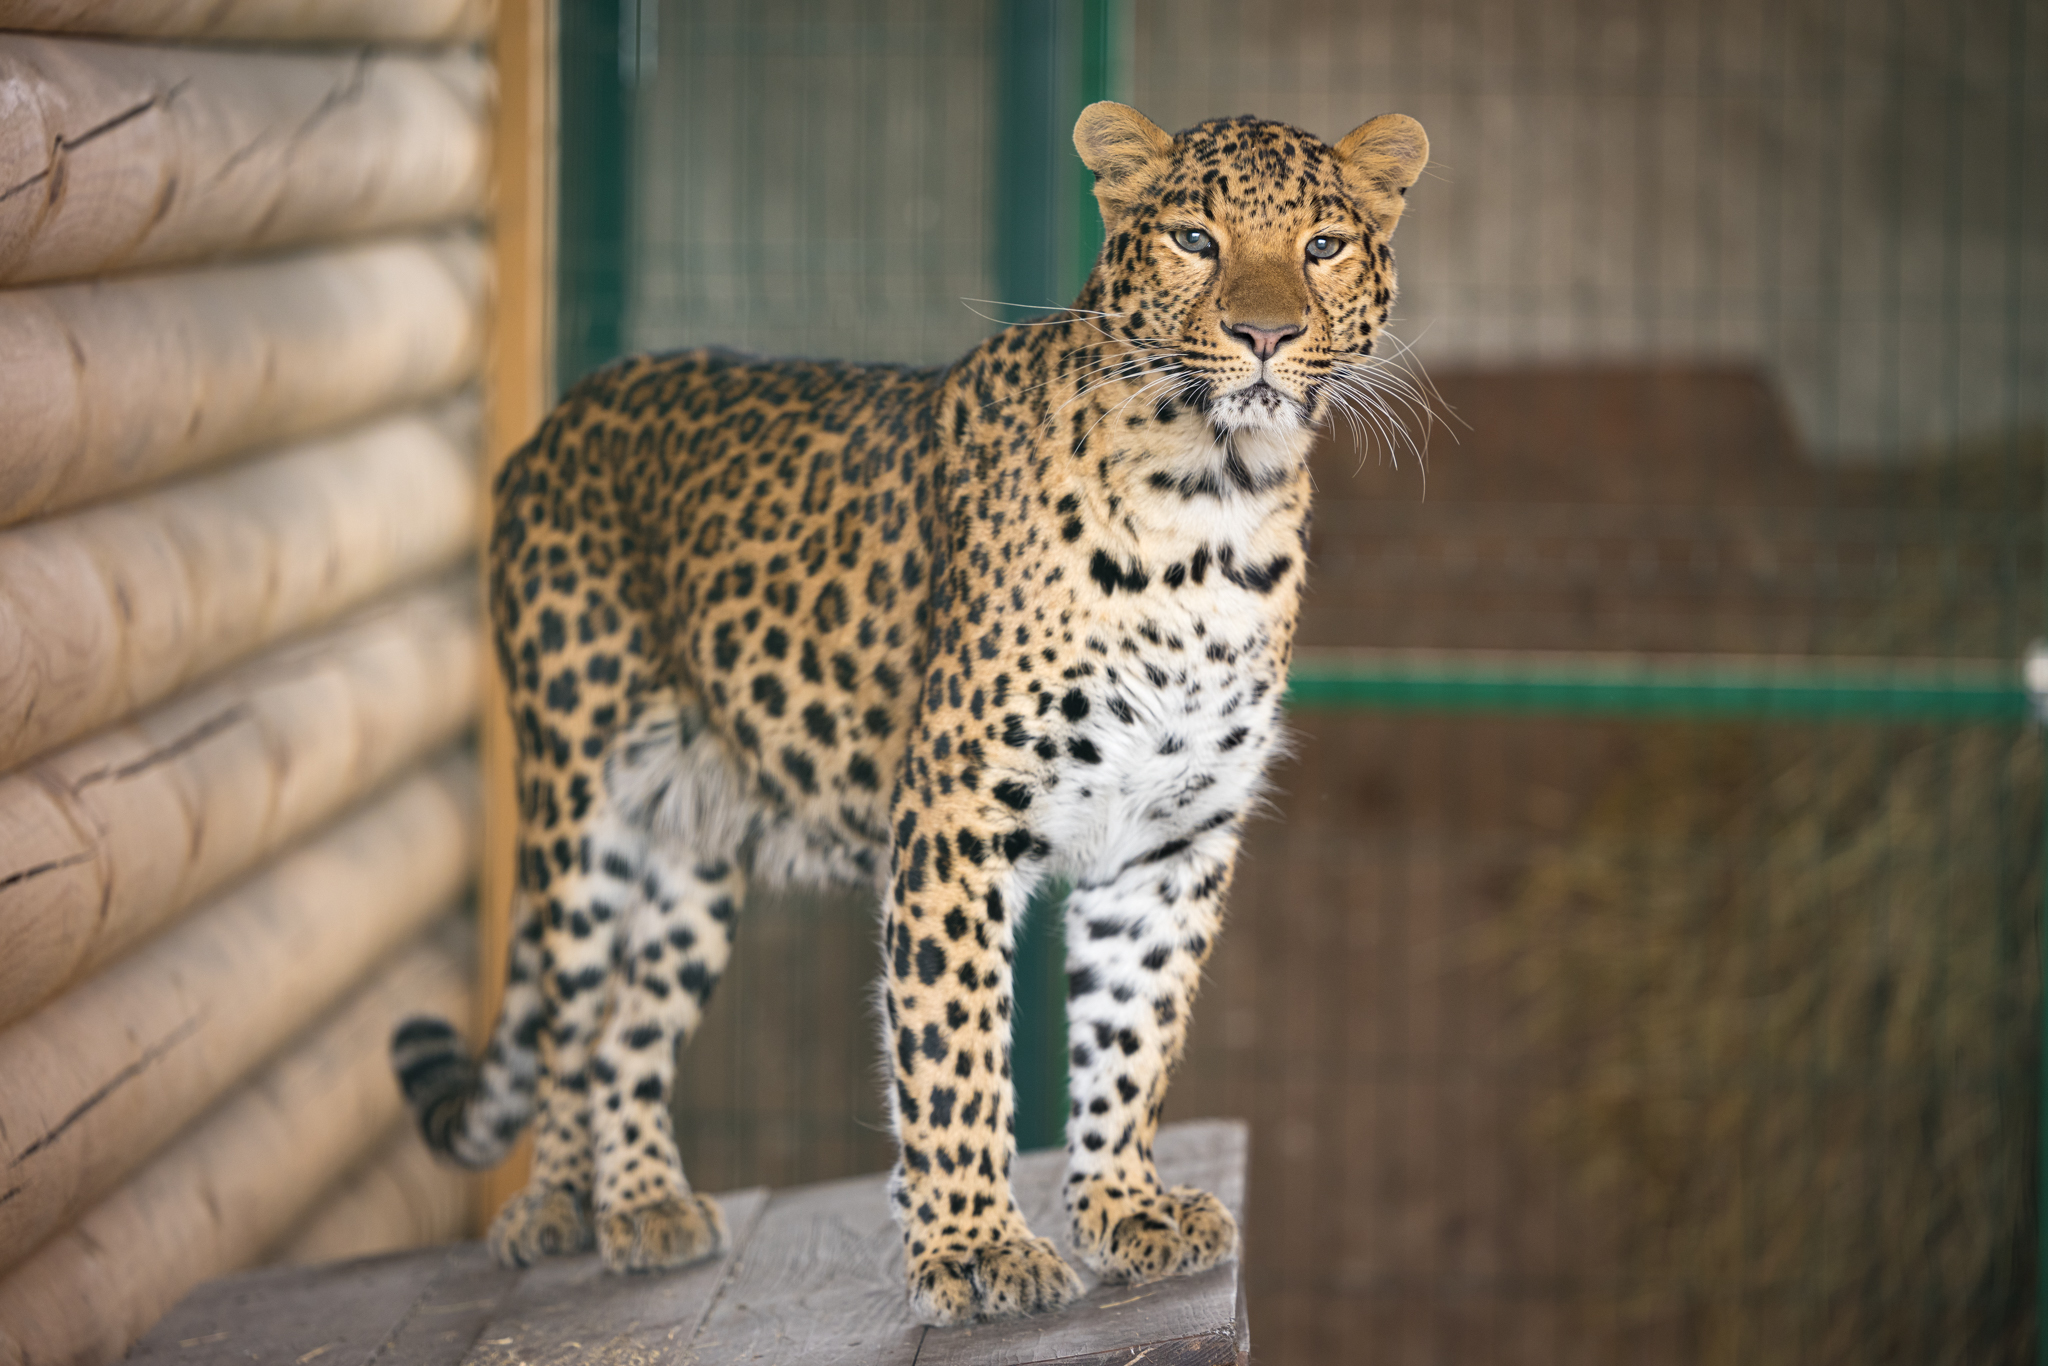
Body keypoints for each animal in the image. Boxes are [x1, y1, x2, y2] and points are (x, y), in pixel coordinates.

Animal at [391, 104, 1433, 1327]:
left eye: (1322, 245)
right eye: (1192, 237)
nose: (1264, 333)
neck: (1217, 508)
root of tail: (563, 415)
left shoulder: (1171, 840)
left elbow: (1133, 1033)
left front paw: (1123, 1207)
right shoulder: (956, 819)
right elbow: (955, 1042)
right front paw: (976, 1246)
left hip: (698, 843)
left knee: (629, 1024)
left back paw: (644, 1198)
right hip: (579, 796)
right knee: (566, 1009)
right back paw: (558, 1202)